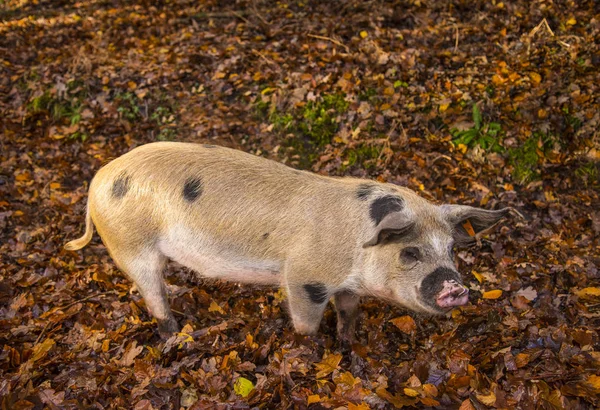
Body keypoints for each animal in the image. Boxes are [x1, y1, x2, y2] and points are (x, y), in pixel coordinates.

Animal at [63, 143, 508, 342]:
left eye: (450, 249)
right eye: (409, 252)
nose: (456, 288)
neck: (355, 248)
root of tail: (98, 180)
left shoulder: (347, 285)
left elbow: (349, 312)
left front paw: (349, 342)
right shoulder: (304, 277)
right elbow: (305, 324)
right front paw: (312, 351)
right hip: (130, 243)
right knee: (152, 296)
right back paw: (176, 335)